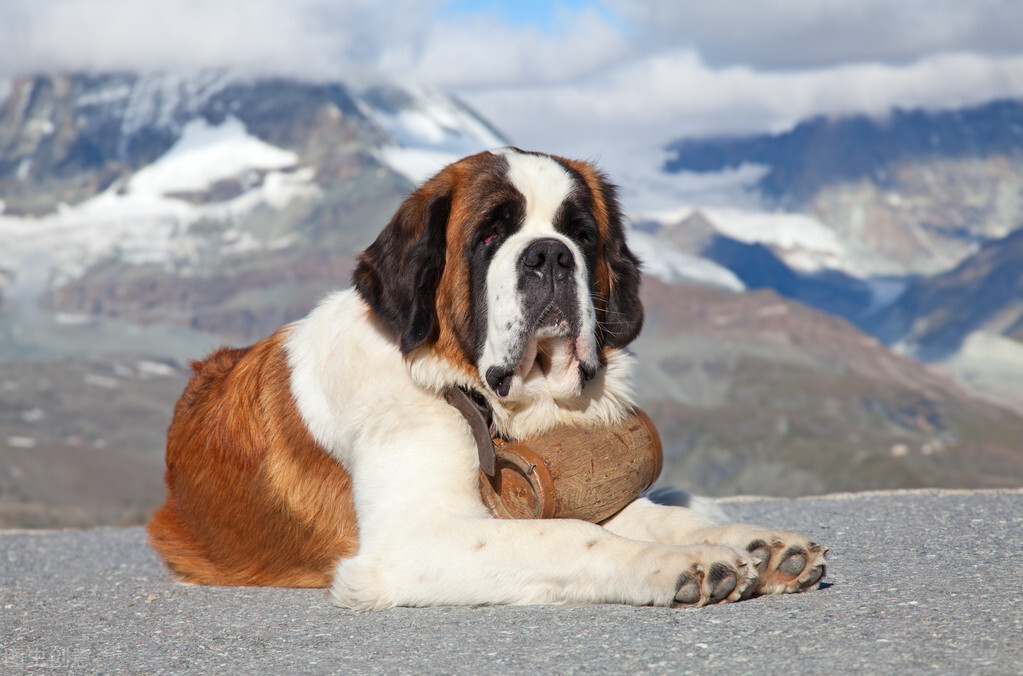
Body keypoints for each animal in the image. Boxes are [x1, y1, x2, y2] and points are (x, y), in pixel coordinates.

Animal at [148, 146, 826, 605]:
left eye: (581, 235)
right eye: (491, 234)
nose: (550, 254)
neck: (479, 398)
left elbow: (641, 513)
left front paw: (754, 545)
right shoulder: (412, 541)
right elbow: (570, 536)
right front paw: (681, 564)